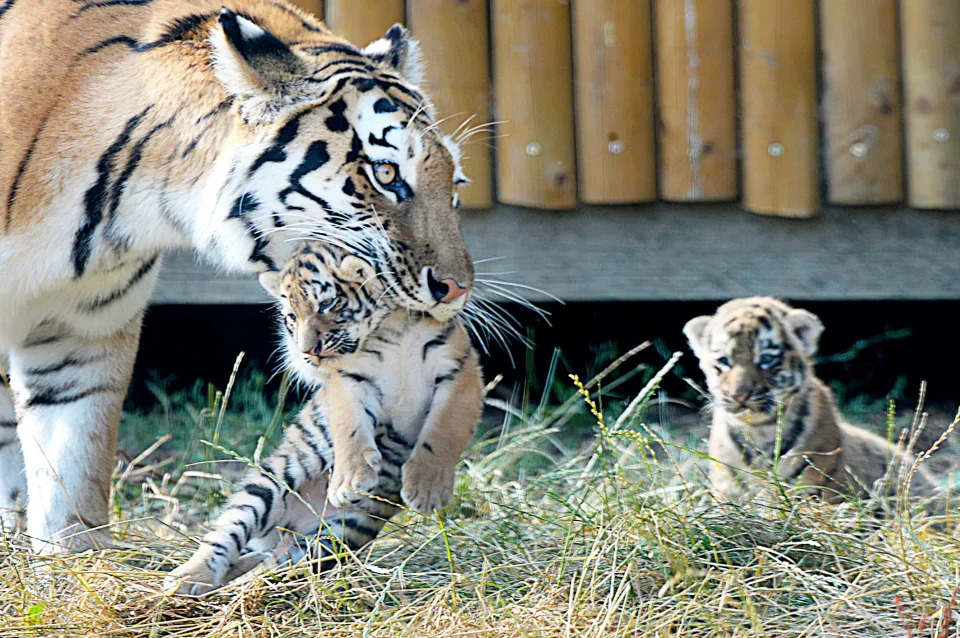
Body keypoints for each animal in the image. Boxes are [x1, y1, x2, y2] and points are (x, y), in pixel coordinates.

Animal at [0, 1, 474, 556]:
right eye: (385, 174)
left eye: (454, 183)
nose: (458, 289)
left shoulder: (79, 337)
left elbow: (71, 473)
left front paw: (75, 567)